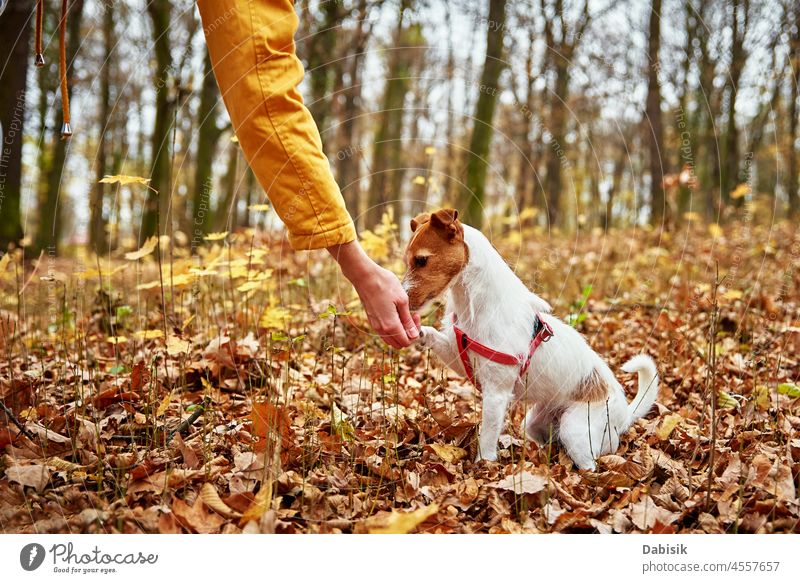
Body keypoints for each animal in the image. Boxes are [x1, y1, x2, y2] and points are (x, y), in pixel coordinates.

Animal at [404, 208, 660, 472]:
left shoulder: (496, 393)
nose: (402, 296)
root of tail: (624, 414)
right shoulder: (459, 354)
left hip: (575, 430)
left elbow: (487, 436)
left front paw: (484, 466)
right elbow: (437, 339)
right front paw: (418, 331)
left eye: (421, 260)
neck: (476, 305)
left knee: (589, 464)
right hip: (536, 421)